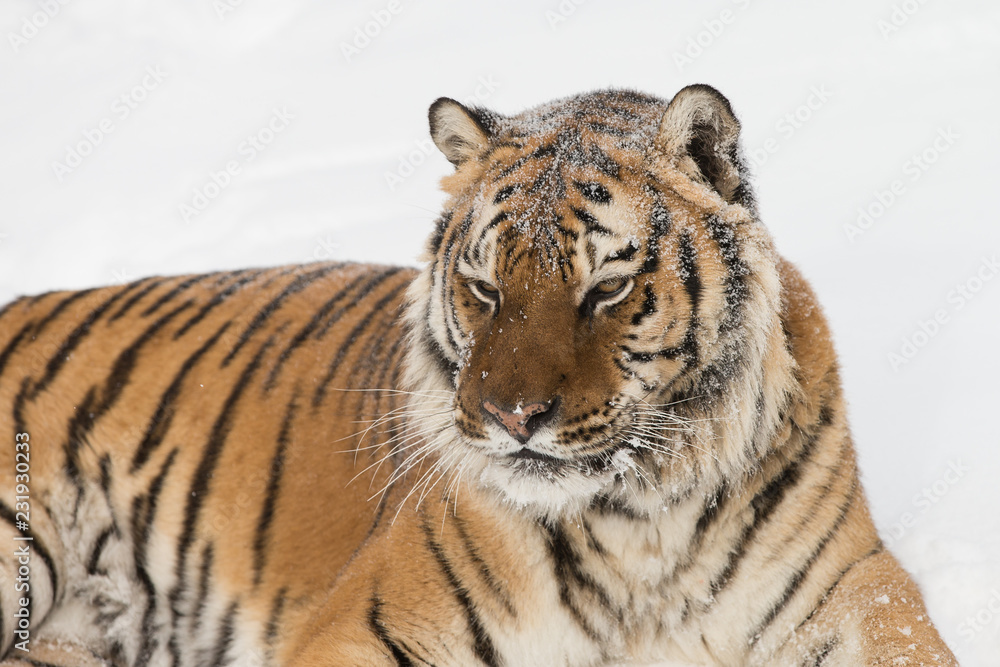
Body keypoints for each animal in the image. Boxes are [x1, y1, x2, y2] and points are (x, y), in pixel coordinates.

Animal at [0, 84, 957, 667]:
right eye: (485, 286)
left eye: (606, 287)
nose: (511, 416)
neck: (641, 525)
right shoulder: (368, 626)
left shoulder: (858, 594)